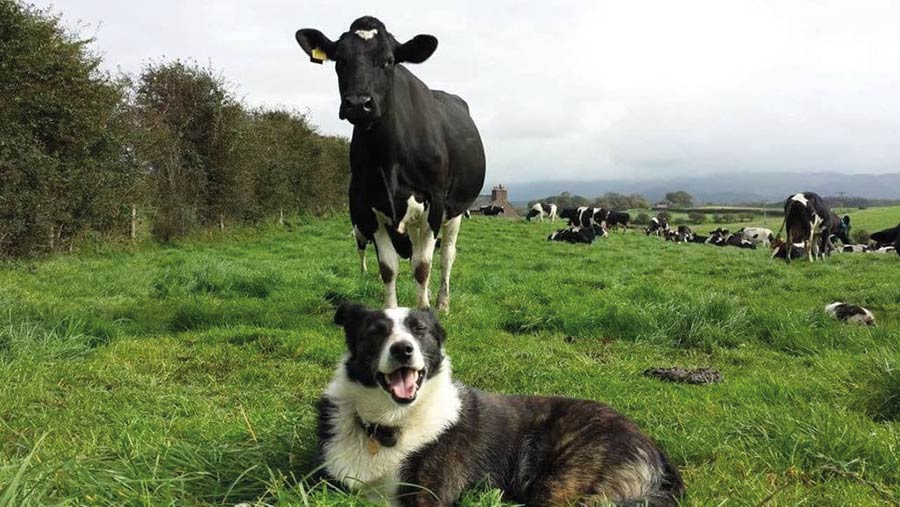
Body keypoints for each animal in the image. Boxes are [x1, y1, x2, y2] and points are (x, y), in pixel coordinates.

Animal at [316, 304, 684, 506]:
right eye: (376, 332)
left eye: (419, 330)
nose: (403, 350)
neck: (389, 424)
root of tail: (655, 451)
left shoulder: (429, 497)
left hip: (560, 485)